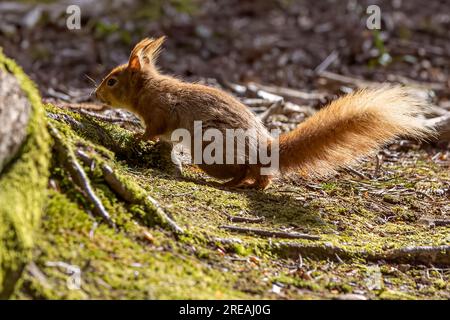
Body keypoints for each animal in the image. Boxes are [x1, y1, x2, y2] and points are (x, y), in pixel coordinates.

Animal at [95, 36, 432, 189]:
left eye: (112, 80)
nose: (94, 94)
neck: (148, 88)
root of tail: (264, 150)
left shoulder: (159, 112)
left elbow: (152, 129)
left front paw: (136, 137)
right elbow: (163, 138)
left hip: (212, 151)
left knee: (246, 171)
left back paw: (228, 182)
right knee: (262, 177)